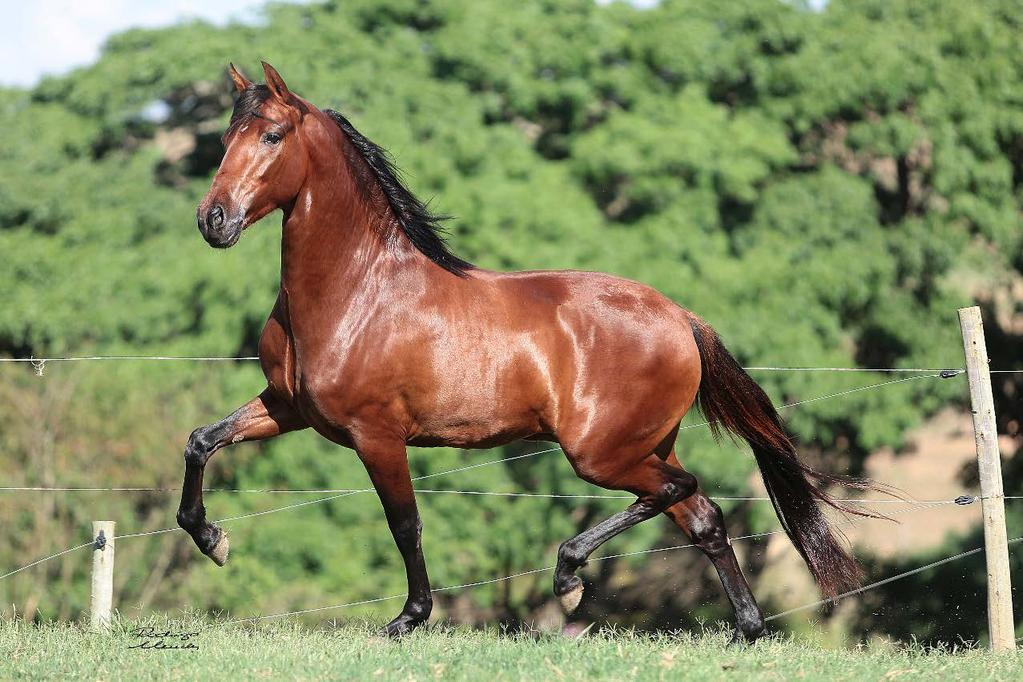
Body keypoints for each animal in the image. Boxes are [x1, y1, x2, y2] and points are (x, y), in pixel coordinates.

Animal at [178, 62, 871, 642]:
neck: (357, 292)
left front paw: (409, 619)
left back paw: (569, 578)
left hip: (600, 453)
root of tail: (679, 318)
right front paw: (213, 539)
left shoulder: (376, 435)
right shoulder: (287, 407)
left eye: (271, 136)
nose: (212, 221)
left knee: (681, 490)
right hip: (644, 444)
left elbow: (405, 524)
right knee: (700, 515)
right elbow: (201, 441)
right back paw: (743, 630)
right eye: (225, 137)